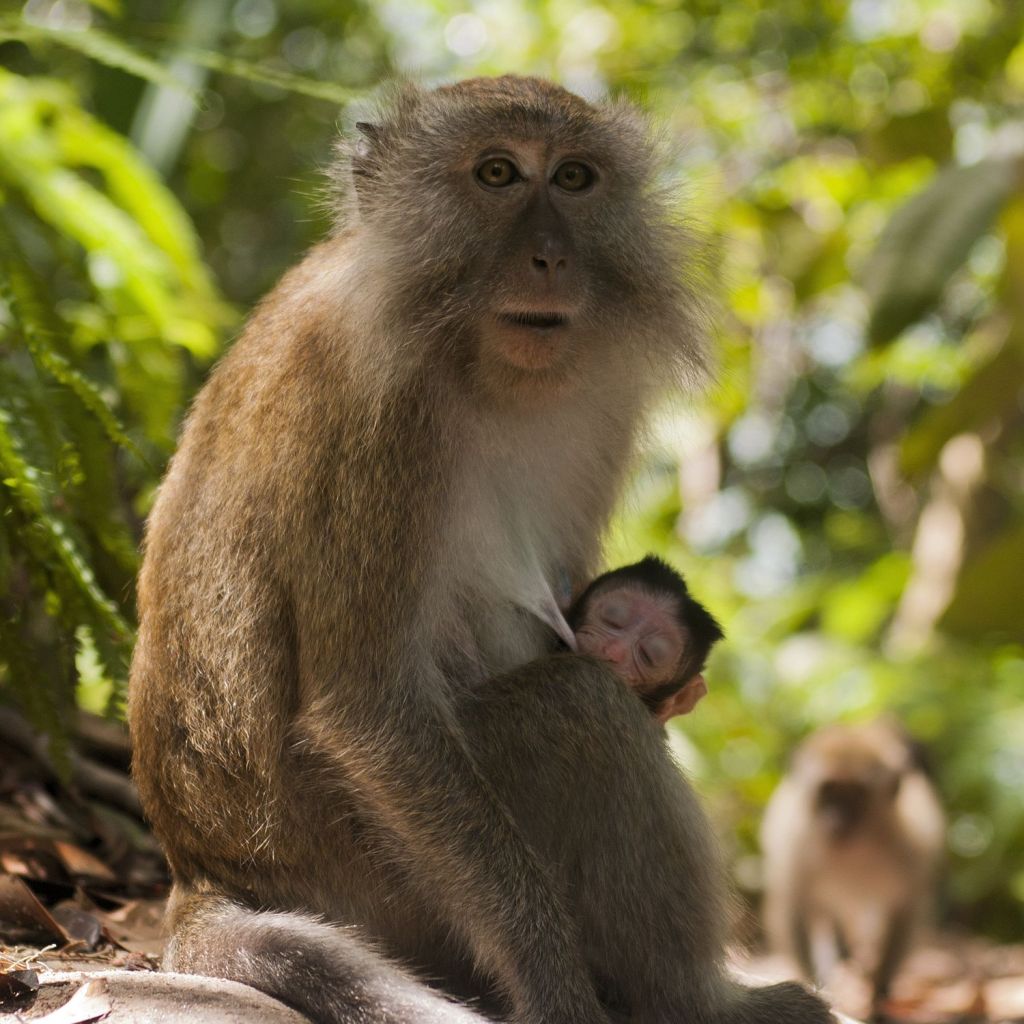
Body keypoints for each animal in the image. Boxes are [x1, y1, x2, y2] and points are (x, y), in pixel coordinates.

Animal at [761, 720, 942, 1015]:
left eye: (856, 794)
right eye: (828, 790)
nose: (837, 818)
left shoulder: (910, 852)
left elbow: (903, 911)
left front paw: (879, 993)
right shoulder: (795, 847)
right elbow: (795, 908)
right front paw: (815, 988)